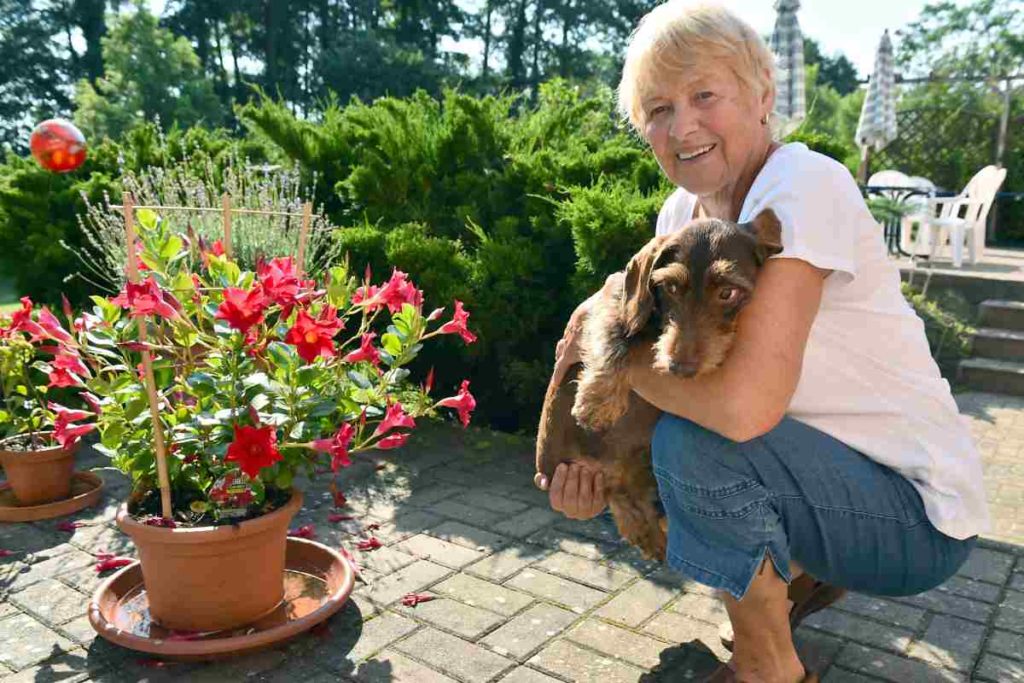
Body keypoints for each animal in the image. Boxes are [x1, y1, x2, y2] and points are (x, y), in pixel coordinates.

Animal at [540, 211, 778, 561]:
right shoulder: (613, 303)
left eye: (727, 293)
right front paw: (596, 402)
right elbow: (616, 337)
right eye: (671, 287)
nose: (679, 367)